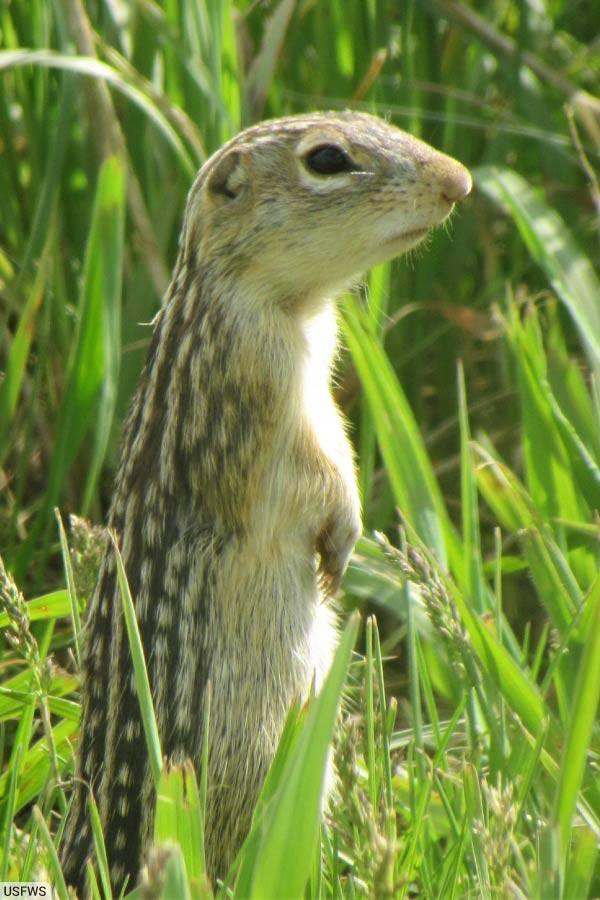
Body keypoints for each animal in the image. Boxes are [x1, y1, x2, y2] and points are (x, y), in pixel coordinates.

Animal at [62, 110, 474, 892]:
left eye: (378, 121)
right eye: (328, 159)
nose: (459, 181)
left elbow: (339, 442)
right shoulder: (263, 385)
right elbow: (315, 474)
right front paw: (343, 541)